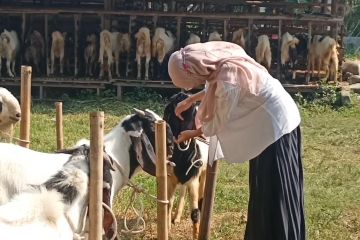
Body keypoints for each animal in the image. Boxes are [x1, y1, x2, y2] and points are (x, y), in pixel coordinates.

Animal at [163, 92, 208, 240]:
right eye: (176, 99)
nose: (189, 97)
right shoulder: (170, 178)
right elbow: (168, 203)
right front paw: (167, 228)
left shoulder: (193, 180)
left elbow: (194, 213)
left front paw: (196, 235)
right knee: (181, 193)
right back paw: (176, 218)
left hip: (203, 175)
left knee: (200, 199)